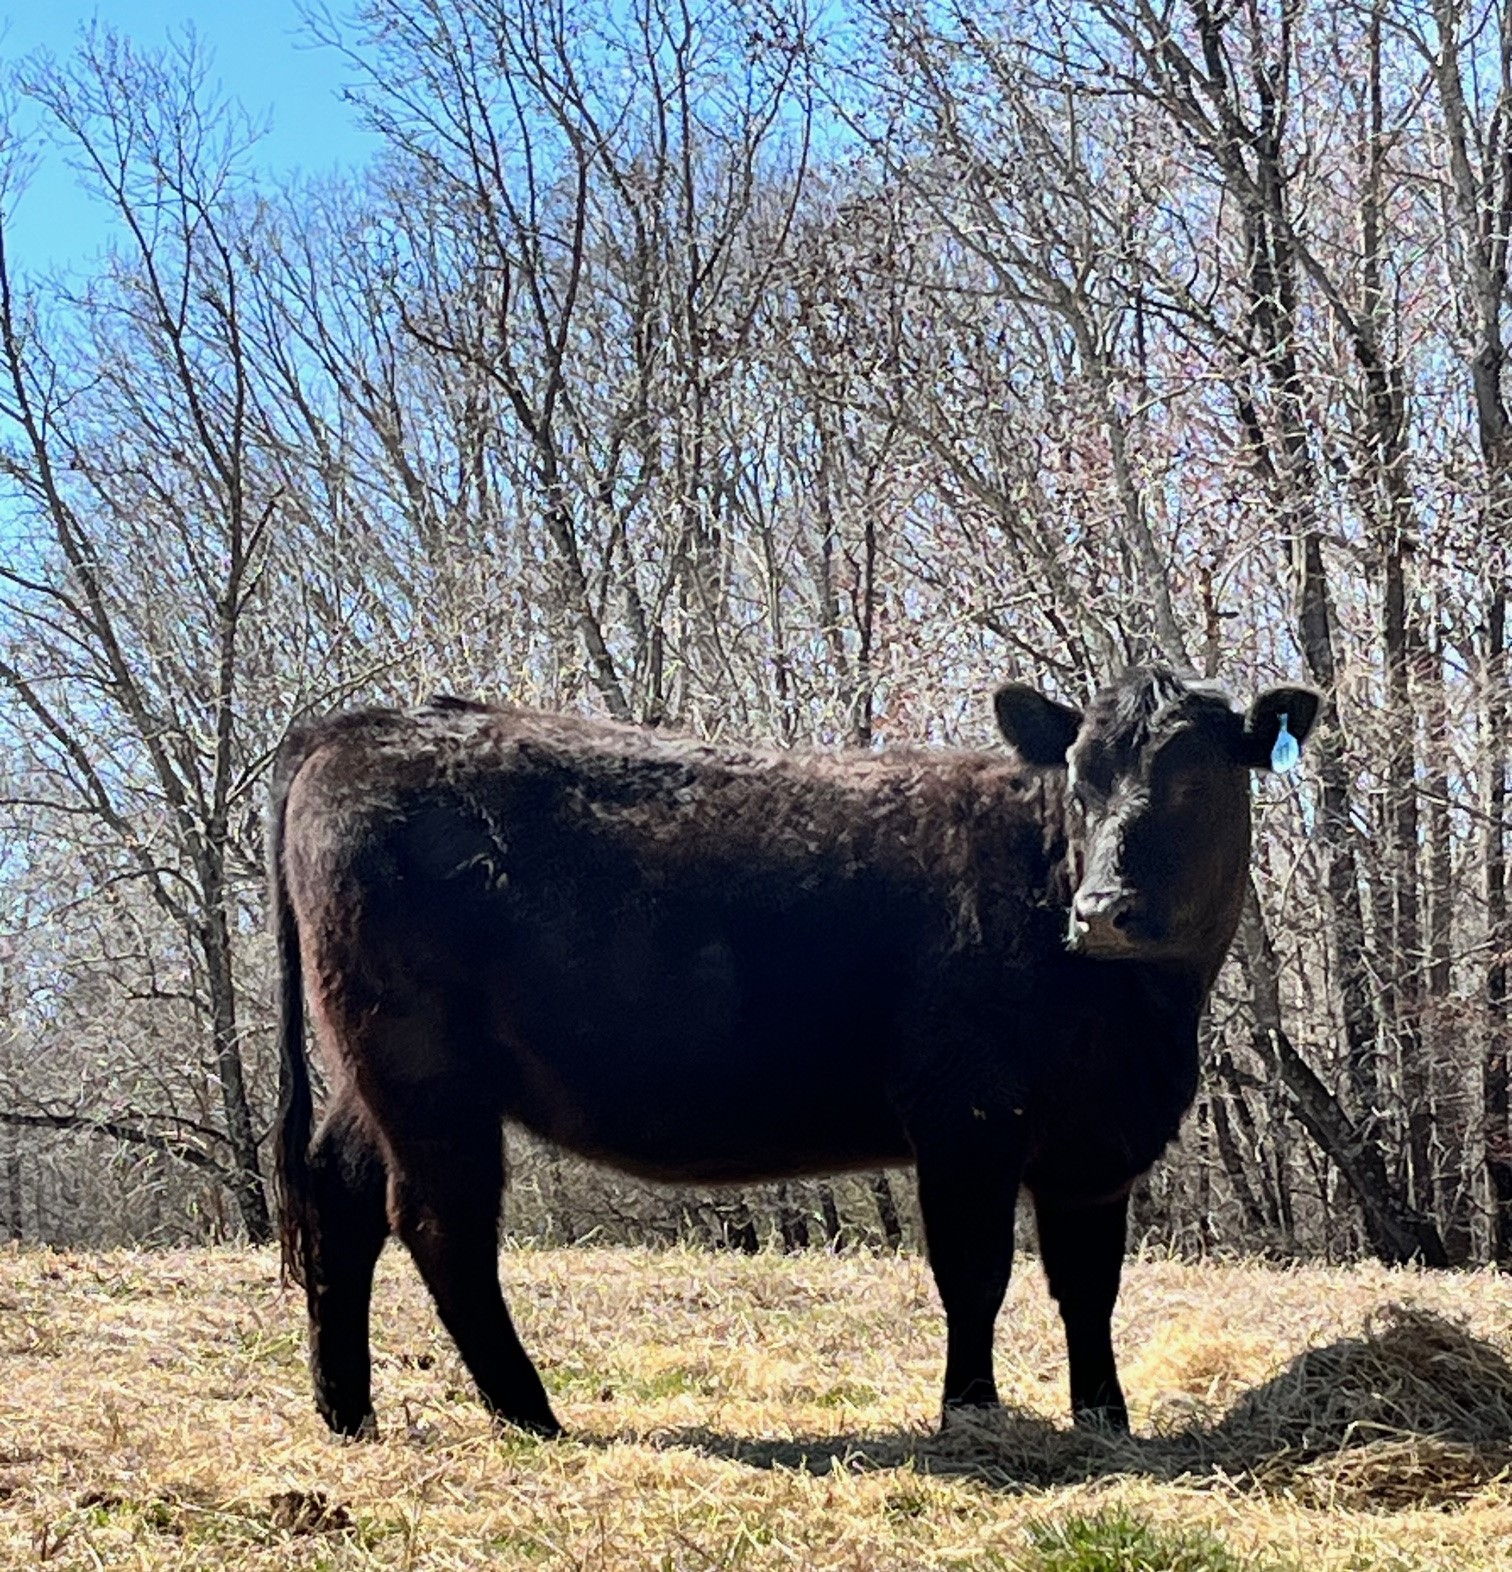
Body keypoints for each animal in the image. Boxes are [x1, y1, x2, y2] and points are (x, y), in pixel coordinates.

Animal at [268, 663, 1307, 1439]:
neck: (1141, 1018)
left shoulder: (1093, 1143)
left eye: (1197, 778)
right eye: (1081, 777)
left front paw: (1105, 1422)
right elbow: (975, 1275)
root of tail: (354, 727)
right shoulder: (965, 1115)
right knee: (441, 1223)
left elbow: (1088, 1287)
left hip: (374, 1070)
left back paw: (346, 1411)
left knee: (341, 1196)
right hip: (425, 1068)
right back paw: (530, 1415)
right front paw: (969, 1416)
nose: (1102, 911)